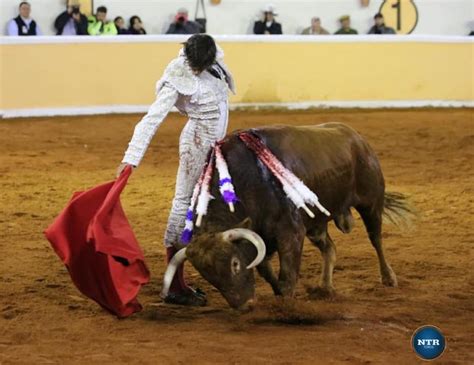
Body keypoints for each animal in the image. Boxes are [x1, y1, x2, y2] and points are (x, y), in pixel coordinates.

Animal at [160, 122, 412, 308]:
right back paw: (325, 288)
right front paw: (280, 294)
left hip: (371, 203)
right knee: (330, 249)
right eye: (208, 277)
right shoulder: (262, 235)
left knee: (375, 238)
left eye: (234, 264)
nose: (244, 305)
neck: (249, 179)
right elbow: (266, 269)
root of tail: (356, 138)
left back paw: (389, 278)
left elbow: (287, 272)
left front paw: (287, 306)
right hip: (316, 224)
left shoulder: (291, 231)